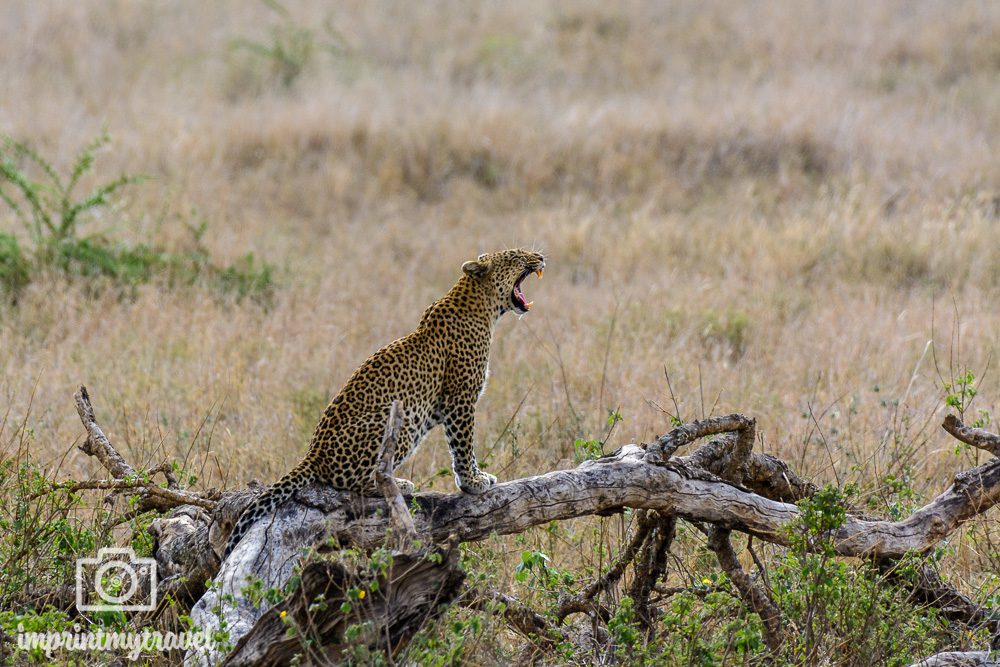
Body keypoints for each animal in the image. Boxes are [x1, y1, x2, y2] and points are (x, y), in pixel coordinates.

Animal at [225, 248, 548, 556]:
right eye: (516, 256)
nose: (541, 257)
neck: (483, 305)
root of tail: (313, 455)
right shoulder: (460, 399)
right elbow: (463, 445)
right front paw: (472, 481)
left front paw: (476, 477)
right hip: (401, 422)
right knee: (358, 482)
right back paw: (400, 484)